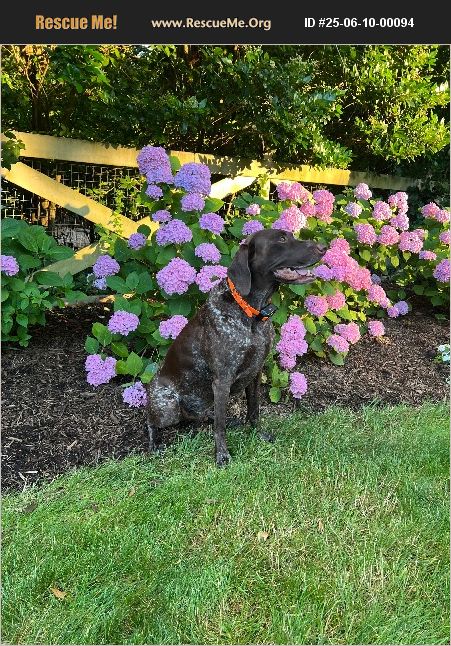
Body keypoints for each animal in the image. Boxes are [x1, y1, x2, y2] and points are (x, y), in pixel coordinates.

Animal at [146, 229, 326, 466]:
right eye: (281, 239)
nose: (324, 247)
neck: (251, 313)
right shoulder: (222, 379)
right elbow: (219, 427)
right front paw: (222, 454)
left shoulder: (255, 372)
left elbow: (254, 410)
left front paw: (258, 433)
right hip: (167, 405)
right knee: (151, 421)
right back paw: (154, 444)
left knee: (208, 415)